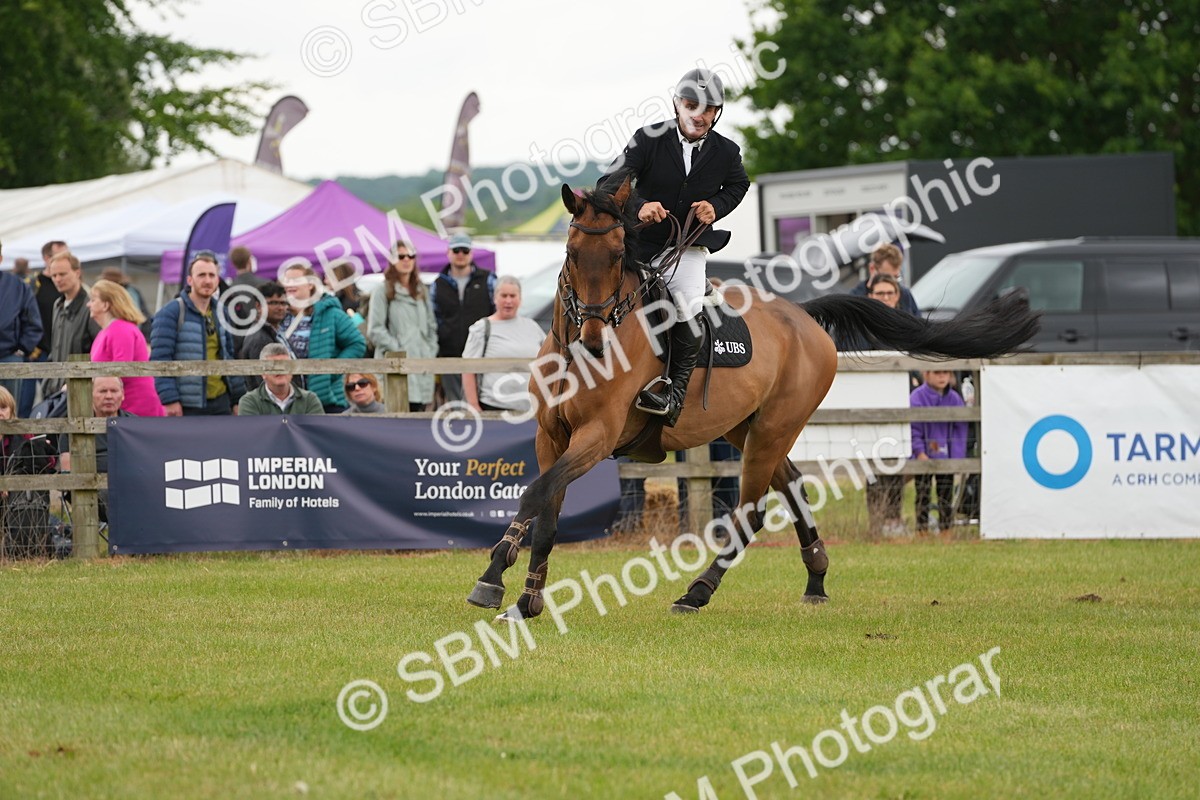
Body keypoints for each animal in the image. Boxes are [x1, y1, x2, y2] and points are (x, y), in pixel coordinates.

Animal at [466, 176, 1039, 618]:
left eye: (615, 255)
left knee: (752, 512)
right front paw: (527, 597)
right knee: (793, 485)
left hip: (773, 428)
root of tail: (804, 315)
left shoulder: (597, 436)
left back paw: (696, 593)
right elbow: (547, 505)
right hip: (747, 428)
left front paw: (493, 577)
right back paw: (816, 580)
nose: (592, 341)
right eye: (571, 253)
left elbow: (536, 493)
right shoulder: (552, 436)